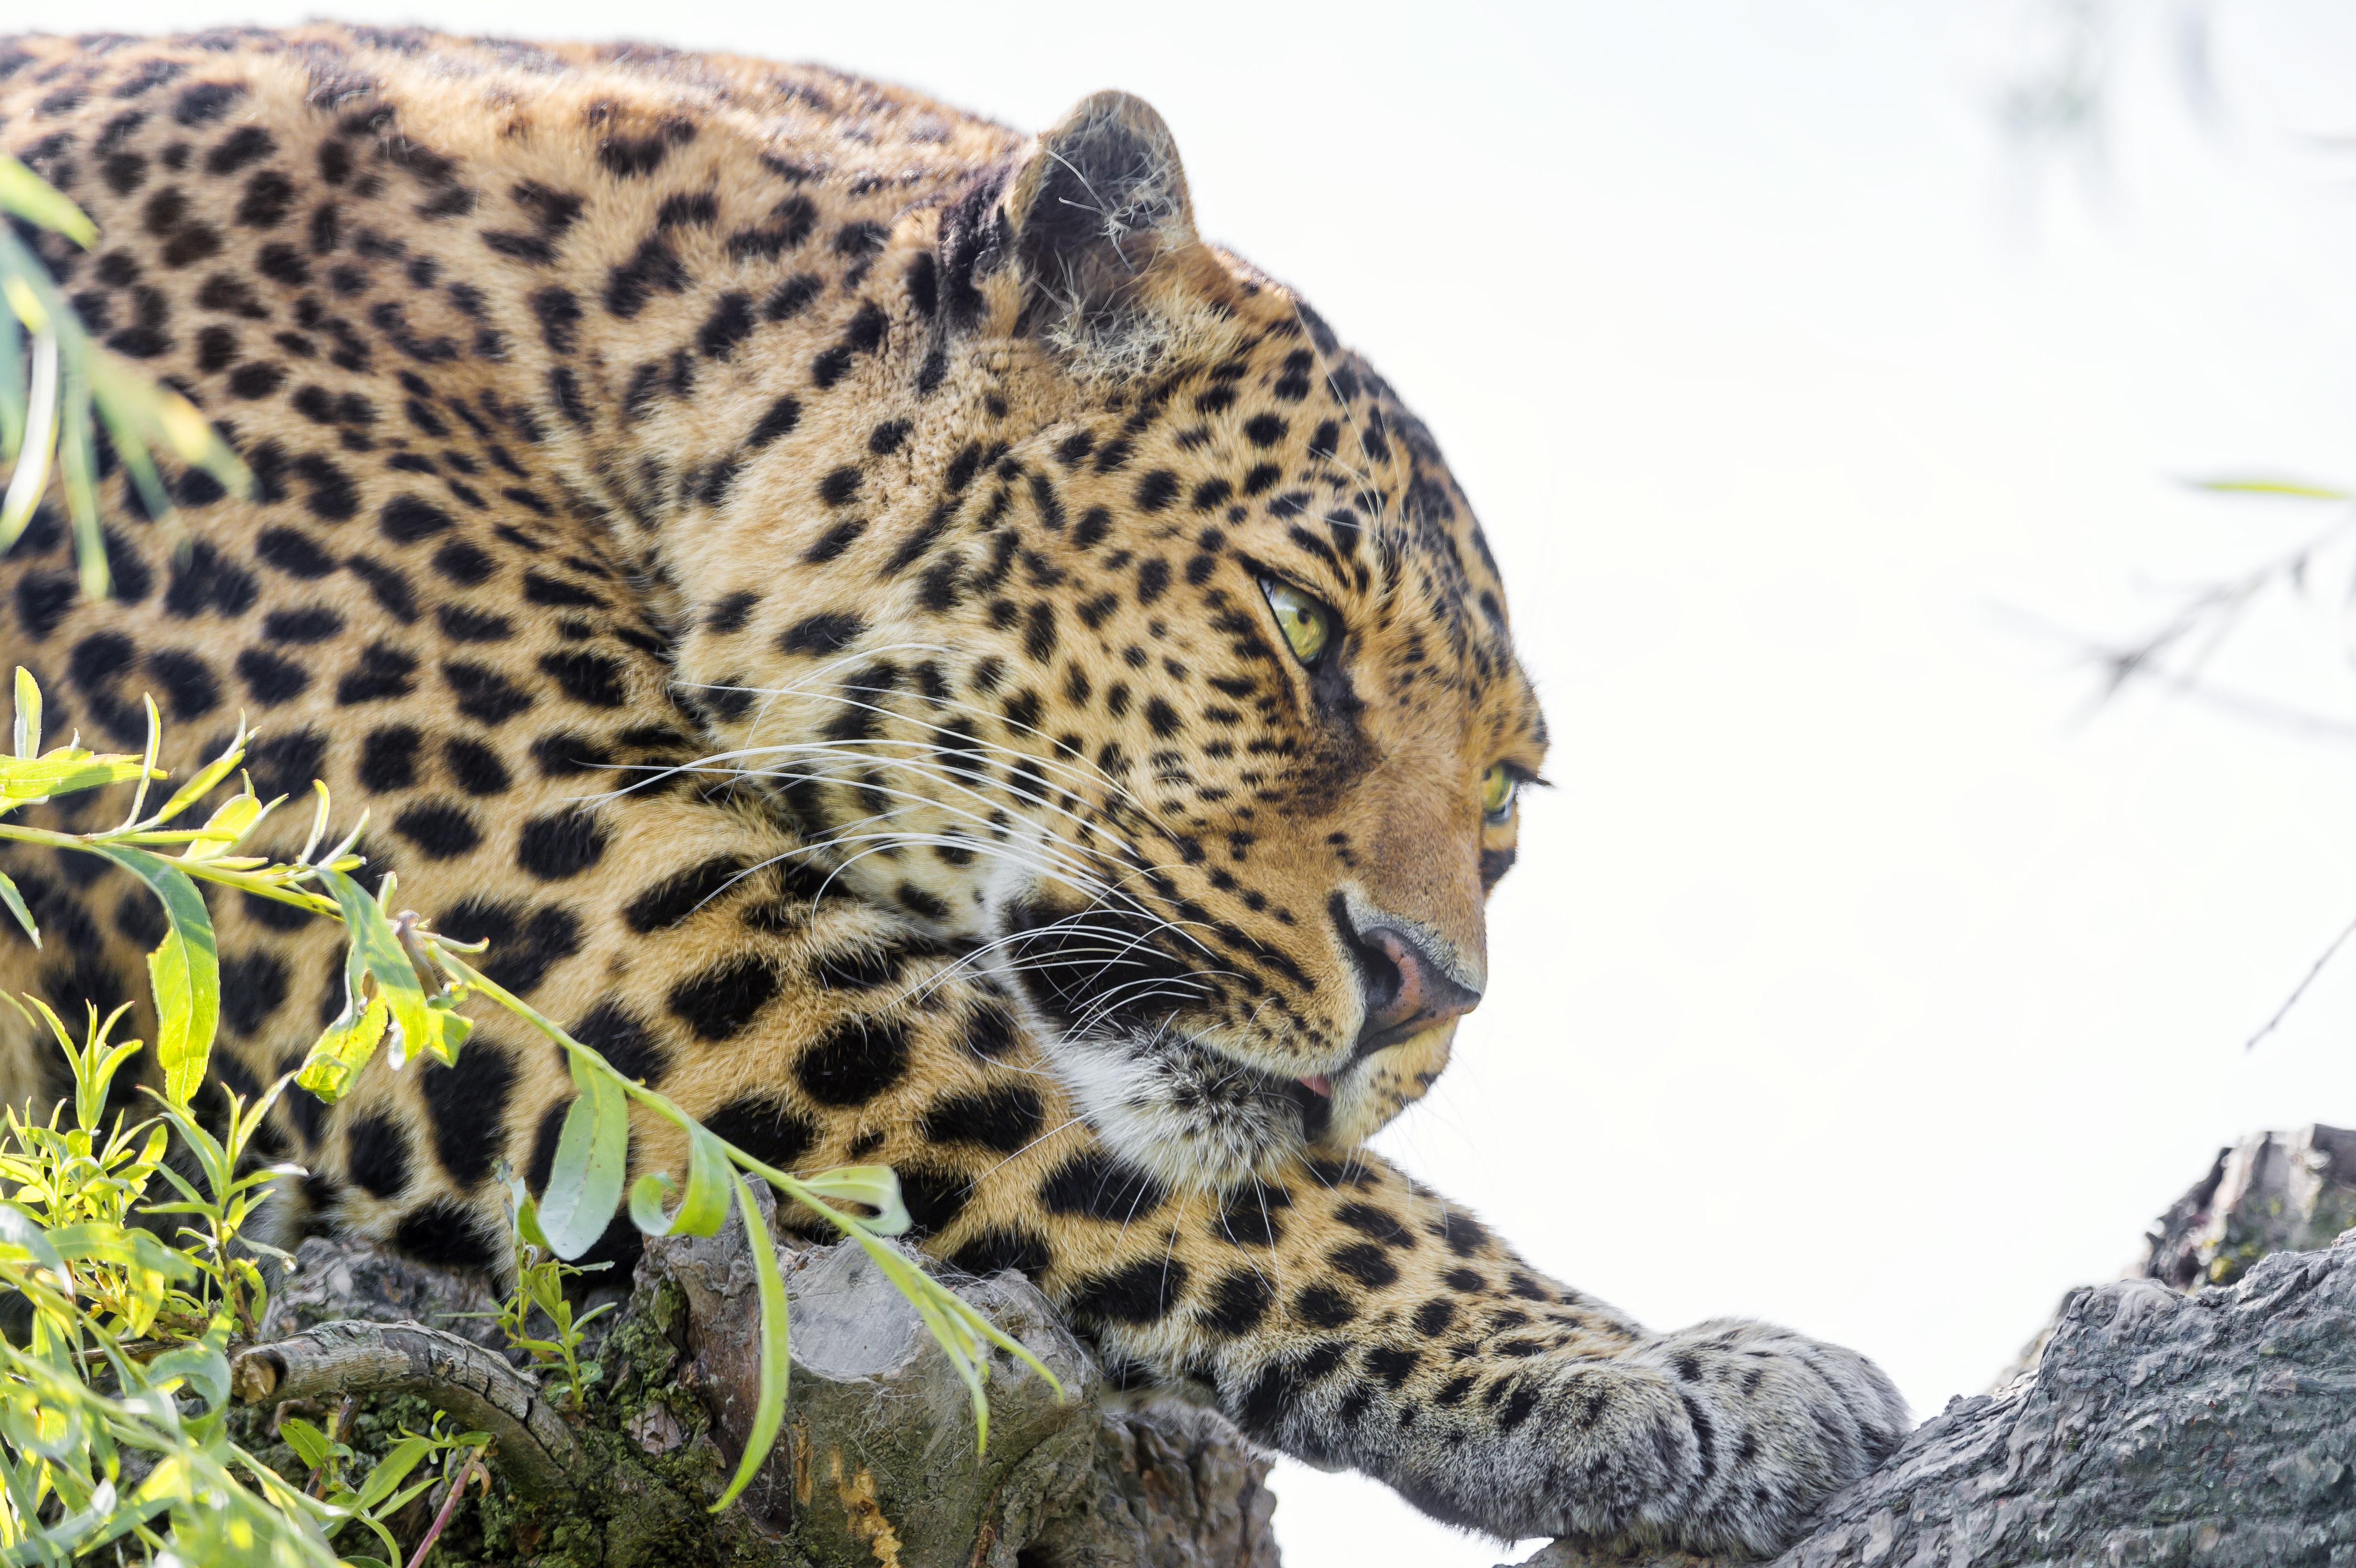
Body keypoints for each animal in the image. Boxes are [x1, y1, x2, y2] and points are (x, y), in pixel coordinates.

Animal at [0, 26, 1908, 1557]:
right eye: (1295, 618)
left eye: (1504, 796)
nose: (1428, 993)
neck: (610, 344)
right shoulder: (556, 945)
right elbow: (1270, 1201)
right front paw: (1675, 1375)